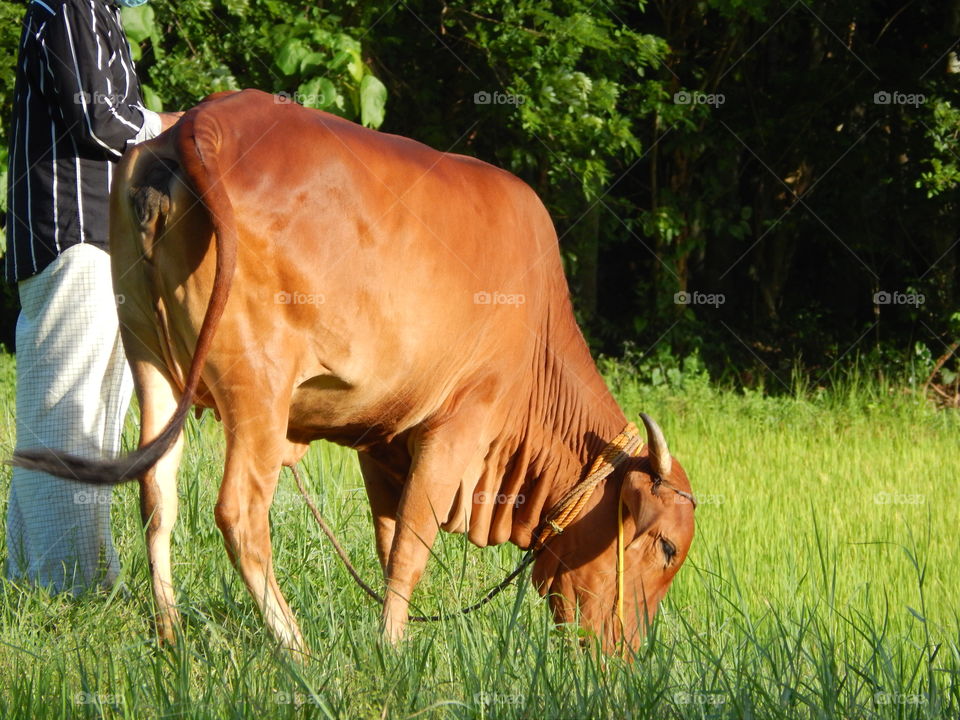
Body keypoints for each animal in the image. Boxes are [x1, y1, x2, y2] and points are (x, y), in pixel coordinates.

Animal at [13, 89, 695, 656]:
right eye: (666, 546)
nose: (624, 654)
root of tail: (203, 122)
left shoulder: (384, 439)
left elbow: (388, 541)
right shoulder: (460, 423)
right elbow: (412, 546)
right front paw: (391, 652)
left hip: (149, 359)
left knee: (157, 495)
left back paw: (171, 634)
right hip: (259, 386)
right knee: (239, 512)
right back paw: (294, 647)